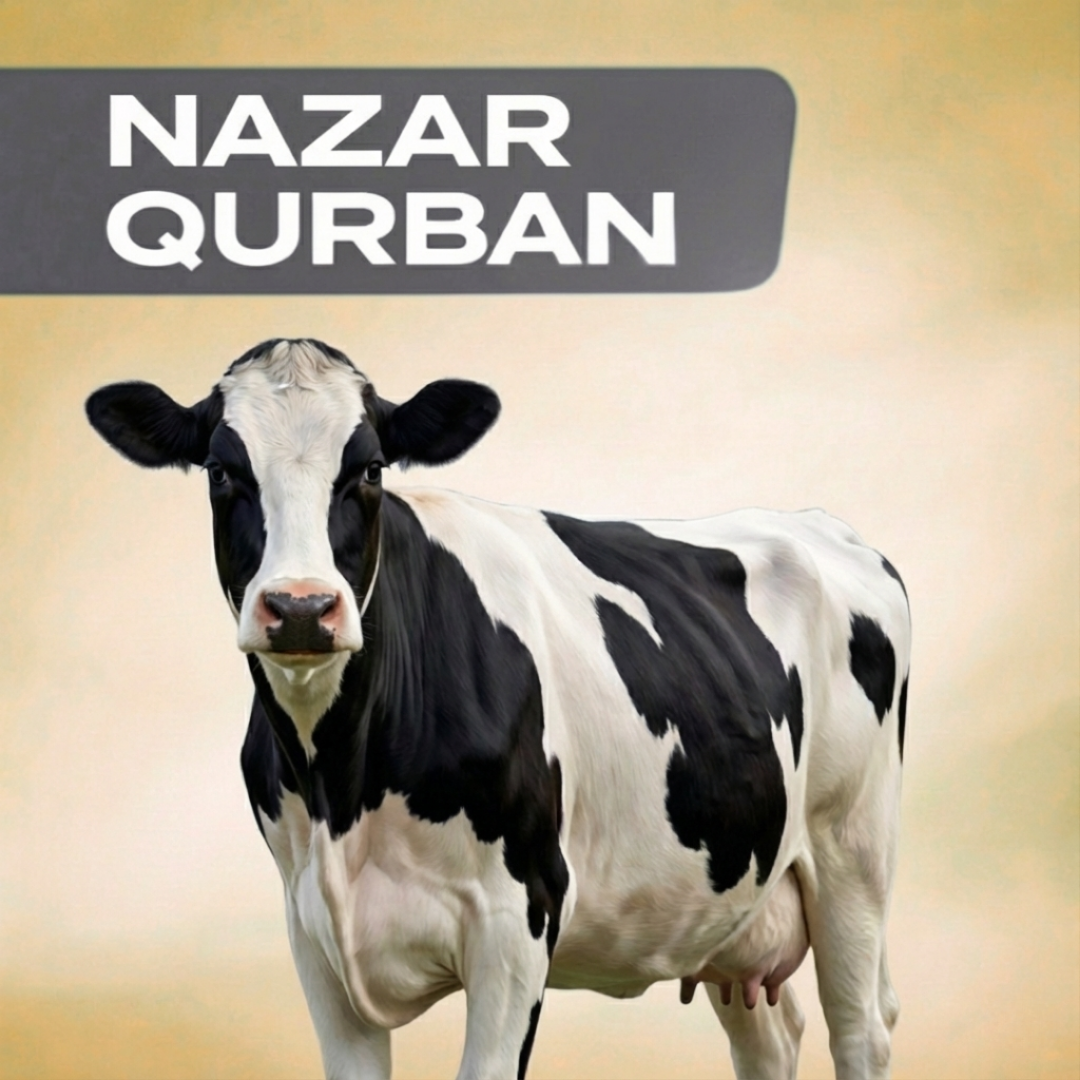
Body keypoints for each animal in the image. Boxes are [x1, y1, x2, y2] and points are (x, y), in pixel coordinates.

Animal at [86, 338, 910, 1080]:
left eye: (370, 470)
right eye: (222, 471)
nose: (299, 608)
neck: (341, 786)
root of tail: (822, 525)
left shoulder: (520, 918)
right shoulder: (313, 932)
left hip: (852, 854)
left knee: (860, 1031)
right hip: (735, 903)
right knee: (769, 1037)